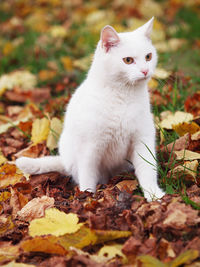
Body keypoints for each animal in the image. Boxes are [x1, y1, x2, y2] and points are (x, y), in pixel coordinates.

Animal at [16, 17, 165, 202]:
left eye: (148, 56)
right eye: (128, 60)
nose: (145, 70)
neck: (123, 97)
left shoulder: (142, 140)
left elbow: (147, 169)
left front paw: (154, 195)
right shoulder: (90, 147)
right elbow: (87, 175)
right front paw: (87, 196)